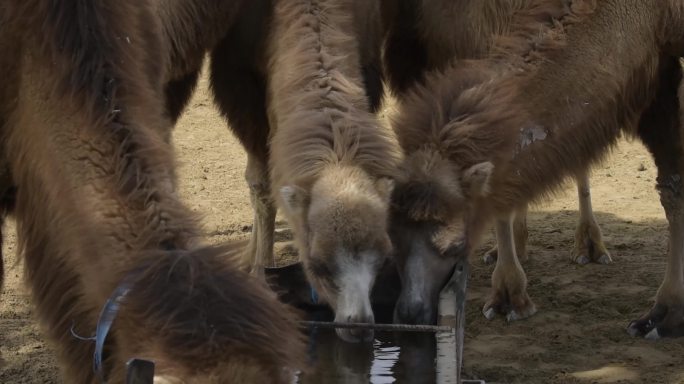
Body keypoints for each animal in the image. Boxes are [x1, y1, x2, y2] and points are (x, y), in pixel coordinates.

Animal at [392, 0, 684, 336]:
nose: (412, 313)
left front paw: (665, 314)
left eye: (456, 244)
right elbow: (673, 186)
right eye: (392, 236)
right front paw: (665, 315)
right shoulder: (658, 64)